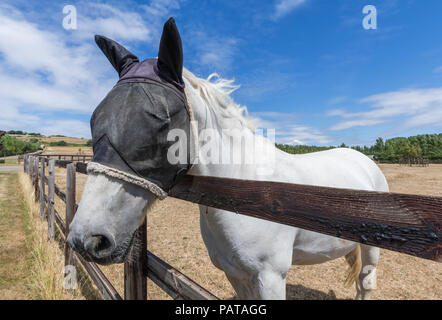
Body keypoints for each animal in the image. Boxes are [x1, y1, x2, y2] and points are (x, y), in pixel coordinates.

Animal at [67, 19, 388, 300]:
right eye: (95, 120)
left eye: (161, 121)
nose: (86, 239)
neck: (245, 192)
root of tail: (364, 160)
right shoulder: (236, 274)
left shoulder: (271, 277)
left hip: (371, 250)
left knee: (366, 283)